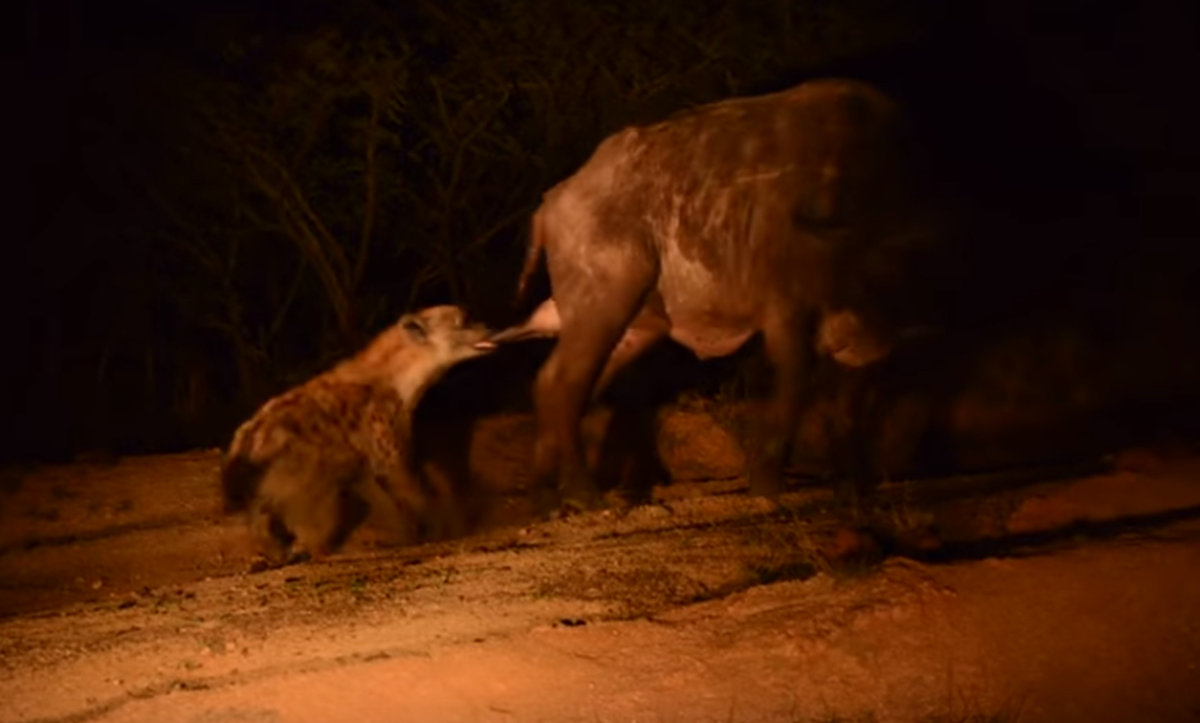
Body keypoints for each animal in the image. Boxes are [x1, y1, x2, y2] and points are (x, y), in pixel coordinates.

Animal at [487, 77, 945, 511]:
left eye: (903, 259)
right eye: (852, 255)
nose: (864, 330)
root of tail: (554, 200)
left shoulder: (861, 348)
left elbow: (848, 409)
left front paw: (850, 487)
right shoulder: (787, 317)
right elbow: (795, 386)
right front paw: (767, 481)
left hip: (635, 329)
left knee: (559, 389)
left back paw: (547, 497)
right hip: (603, 307)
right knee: (561, 384)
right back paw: (582, 494)